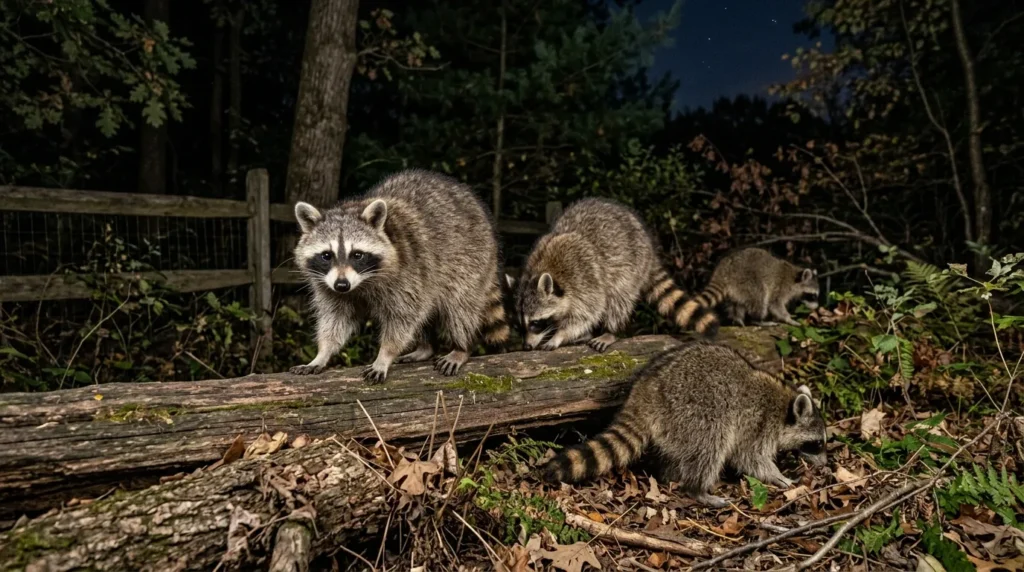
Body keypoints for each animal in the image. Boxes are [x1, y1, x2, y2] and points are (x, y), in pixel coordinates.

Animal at [290, 169, 510, 384]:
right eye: (327, 255)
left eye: (357, 255)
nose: (342, 285)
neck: (361, 283)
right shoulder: (329, 285)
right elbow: (335, 318)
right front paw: (322, 353)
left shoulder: (407, 273)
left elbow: (402, 319)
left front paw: (384, 355)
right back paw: (426, 347)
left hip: (471, 258)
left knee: (460, 306)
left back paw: (462, 347)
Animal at [508, 198, 719, 353]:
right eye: (519, 325)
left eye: (536, 323)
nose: (526, 346)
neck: (541, 268)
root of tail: (649, 248)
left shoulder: (585, 280)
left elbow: (587, 313)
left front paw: (561, 334)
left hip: (632, 266)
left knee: (619, 298)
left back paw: (610, 331)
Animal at [541, 342, 827, 507]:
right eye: (817, 444)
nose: (826, 464)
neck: (784, 404)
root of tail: (645, 391)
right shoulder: (757, 423)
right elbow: (749, 457)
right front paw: (777, 475)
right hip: (695, 407)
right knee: (711, 443)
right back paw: (698, 489)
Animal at [678, 248, 819, 327]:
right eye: (812, 295)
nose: (816, 307)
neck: (796, 277)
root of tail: (723, 270)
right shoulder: (781, 287)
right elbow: (775, 304)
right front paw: (788, 318)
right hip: (747, 278)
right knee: (759, 297)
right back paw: (758, 320)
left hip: (737, 286)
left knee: (737, 303)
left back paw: (738, 319)